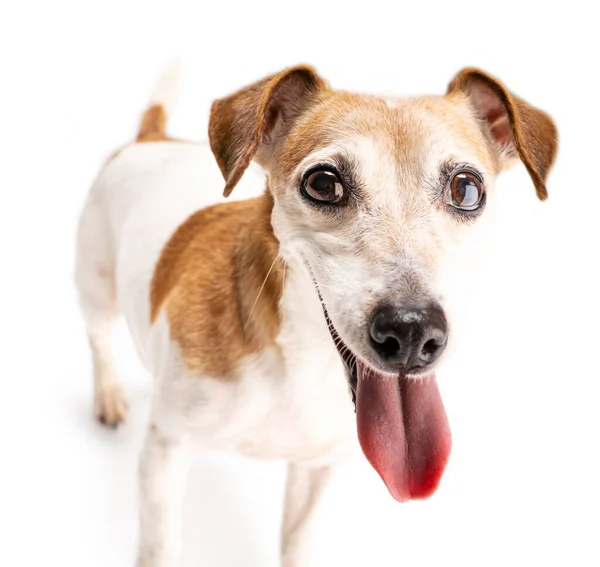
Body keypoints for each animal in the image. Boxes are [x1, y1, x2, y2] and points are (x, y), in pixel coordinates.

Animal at [76, 64, 556, 564]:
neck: (299, 363)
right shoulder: (164, 453)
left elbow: (297, 540)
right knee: (99, 339)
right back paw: (108, 396)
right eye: (324, 183)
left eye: (466, 188)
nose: (411, 332)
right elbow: (160, 547)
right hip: (95, 287)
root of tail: (152, 138)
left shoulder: (316, 470)